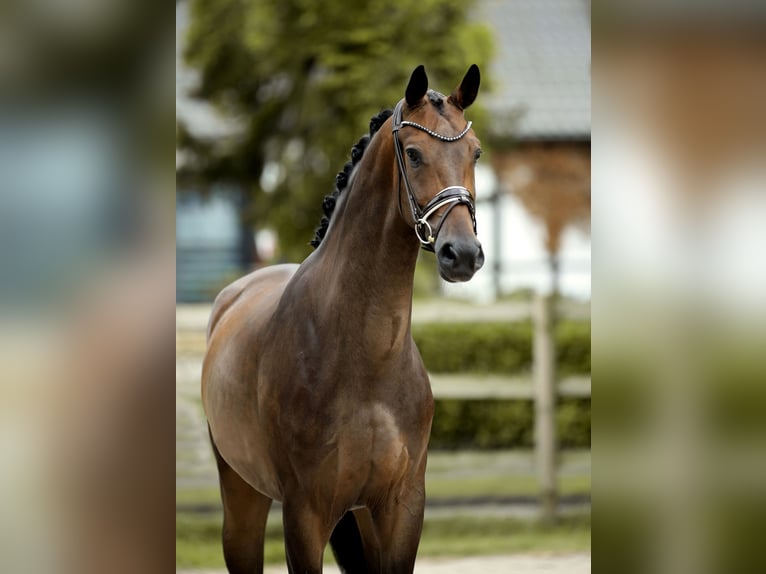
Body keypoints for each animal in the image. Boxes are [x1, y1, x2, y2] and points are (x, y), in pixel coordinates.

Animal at [201, 64, 484, 574]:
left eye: (475, 152)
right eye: (413, 154)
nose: (463, 254)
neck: (365, 357)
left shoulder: (400, 507)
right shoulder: (305, 514)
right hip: (242, 496)